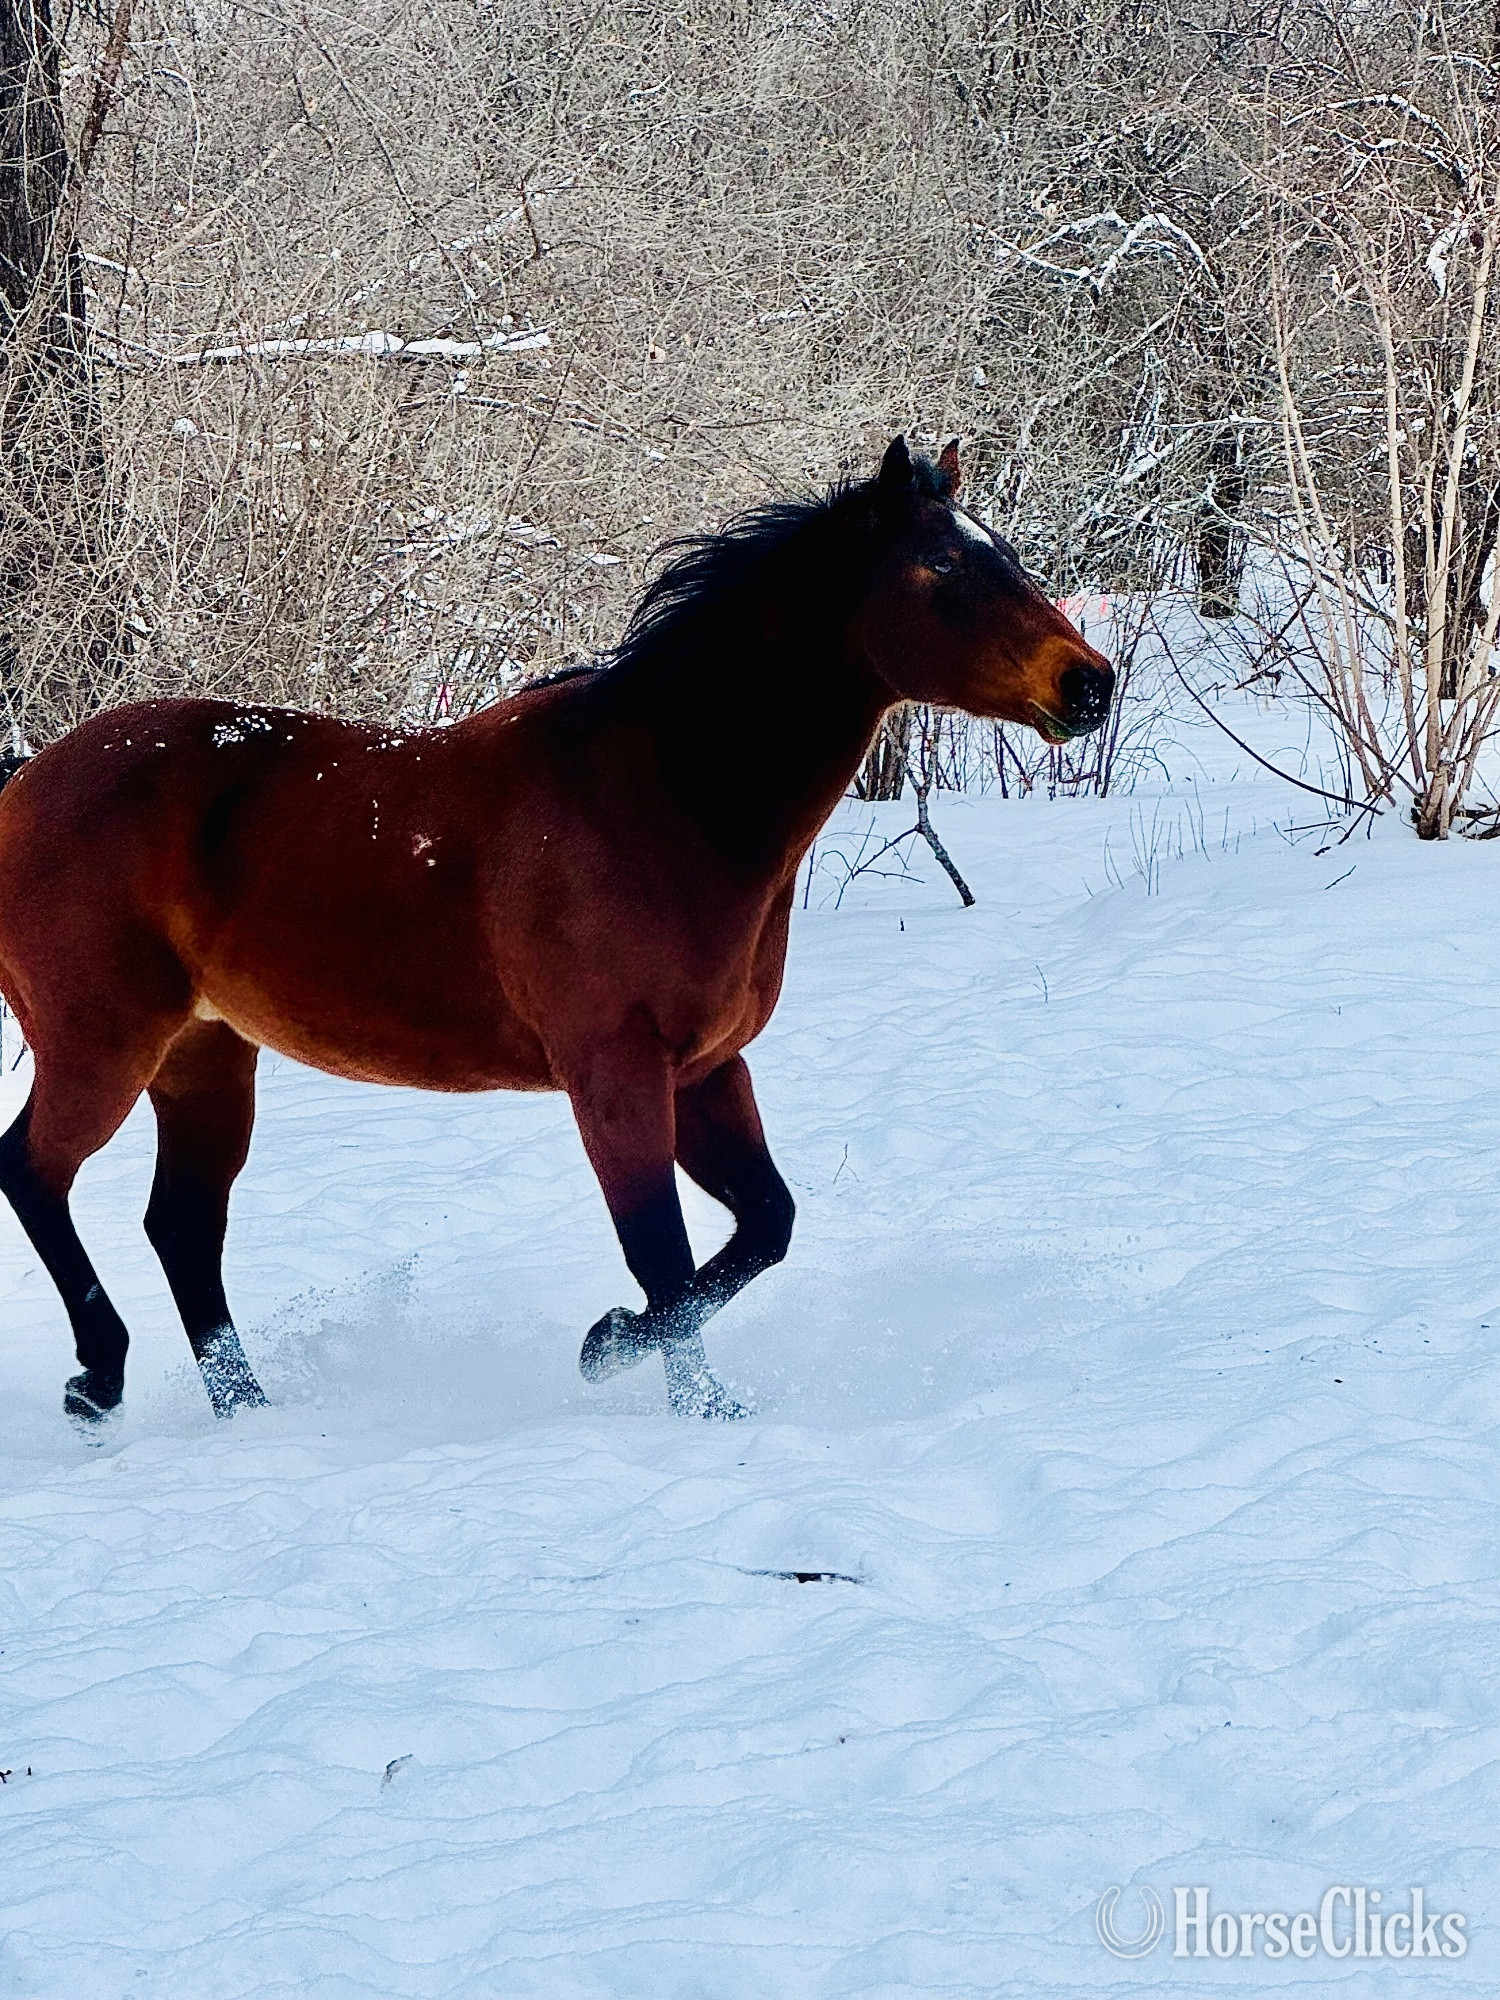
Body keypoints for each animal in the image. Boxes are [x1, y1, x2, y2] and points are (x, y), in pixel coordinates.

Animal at [0, 437, 1112, 1427]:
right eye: (943, 566)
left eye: (1005, 553)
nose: (1089, 684)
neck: (670, 799)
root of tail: (27, 781)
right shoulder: (612, 1071)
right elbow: (662, 1256)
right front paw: (678, 1393)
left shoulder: (706, 1069)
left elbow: (764, 1227)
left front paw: (612, 1343)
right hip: (104, 1044)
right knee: (35, 1171)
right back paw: (98, 1378)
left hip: (206, 1057)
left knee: (182, 1227)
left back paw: (248, 1411)